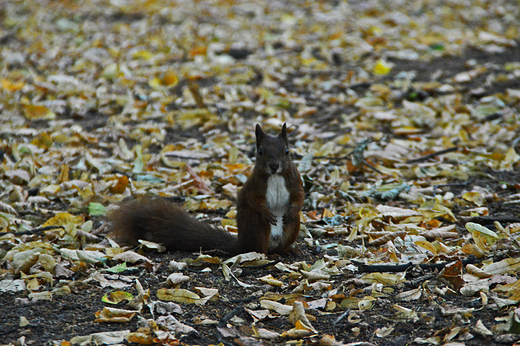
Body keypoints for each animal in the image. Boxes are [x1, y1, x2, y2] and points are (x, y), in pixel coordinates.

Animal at [109, 123, 304, 254]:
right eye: (260, 152)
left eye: (287, 151)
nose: (274, 166)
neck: (276, 176)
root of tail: (242, 243)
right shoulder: (255, 187)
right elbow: (254, 201)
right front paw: (266, 211)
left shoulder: (295, 182)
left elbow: (299, 197)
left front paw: (294, 209)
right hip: (256, 226)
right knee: (258, 247)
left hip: (292, 227)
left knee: (283, 241)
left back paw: (289, 250)